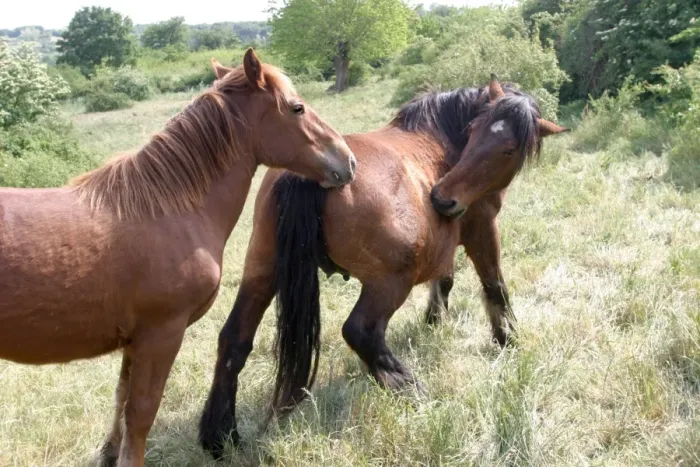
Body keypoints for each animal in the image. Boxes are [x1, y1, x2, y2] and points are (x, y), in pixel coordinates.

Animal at [0, 49, 355, 467]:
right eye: (297, 108)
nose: (348, 160)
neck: (168, 208)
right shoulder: (162, 333)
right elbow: (140, 415)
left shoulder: (134, 341)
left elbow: (121, 404)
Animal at [198, 76, 568, 458]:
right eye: (474, 131)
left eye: (506, 149)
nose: (442, 198)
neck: (443, 140)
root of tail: (312, 176)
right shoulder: (482, 227)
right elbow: (494, 285)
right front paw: (506, 337)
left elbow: (444, 281)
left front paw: (435, 320)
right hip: (389, 283)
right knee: (361, 332)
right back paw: (409, 388)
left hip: (262, 272)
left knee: (234, 340)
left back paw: (220, 435)